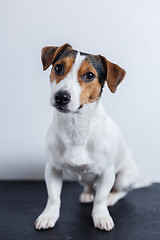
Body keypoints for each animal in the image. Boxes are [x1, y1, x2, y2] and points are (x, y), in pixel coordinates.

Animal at [34, 42, 139, 231]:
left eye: (90, 75)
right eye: (58, 68)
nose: (61, 97)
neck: (76, 128)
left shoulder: (107, 173)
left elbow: (100, 199)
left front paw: (101, 216)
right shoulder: (52, 169)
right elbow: (53, 197)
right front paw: (48, 216)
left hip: (124, 177)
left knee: (120, 191)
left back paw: (112, 197)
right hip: (82, 179)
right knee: (89, 185)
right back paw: (88, 194)